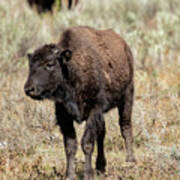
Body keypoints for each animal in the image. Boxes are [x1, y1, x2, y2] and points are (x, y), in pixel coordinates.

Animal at [24, 26, 136, 179]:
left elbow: (87, 143)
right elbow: (71, 145)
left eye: (50, 64)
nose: (29, 89)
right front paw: (70, 175)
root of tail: (125, 46)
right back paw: (101, 166)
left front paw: (87, 174)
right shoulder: (64, 115)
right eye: (30, 65)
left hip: (127, 97)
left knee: (125, 126)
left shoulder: (94, 111)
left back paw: (130, 161)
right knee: (102, 133)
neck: (72, 69)